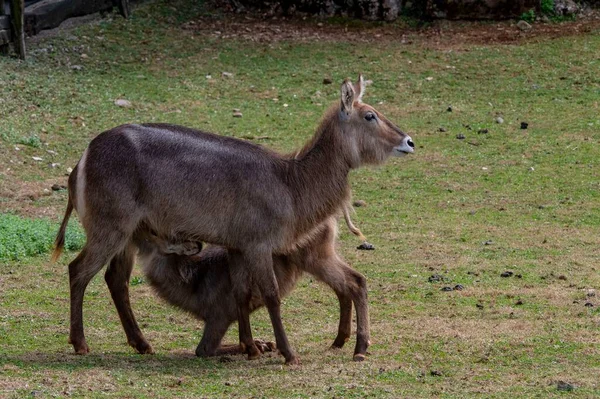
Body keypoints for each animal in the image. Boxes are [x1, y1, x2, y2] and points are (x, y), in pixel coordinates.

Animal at [137, 217, 368, 360]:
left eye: (155, 231)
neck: (194, 282)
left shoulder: (218, 317)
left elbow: (203, 349)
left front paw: (261, 346)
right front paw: (260, 344)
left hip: (315, 257)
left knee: (356, 281)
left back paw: (360, 348)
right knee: (344, 287)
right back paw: (339, 341)